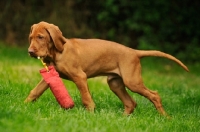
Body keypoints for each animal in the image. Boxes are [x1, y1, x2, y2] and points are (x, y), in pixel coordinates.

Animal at [24, 21, 188, 115]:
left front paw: (90, 115)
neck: (57, 53)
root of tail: (134, 52)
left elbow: (86, 98)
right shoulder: (50, 76)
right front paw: (23, 107)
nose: (30, 52)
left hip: (132, 82)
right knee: (131, 103)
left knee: (154, 95)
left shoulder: (80, 77)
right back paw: (122, 120)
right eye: (30, 38)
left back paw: (165, 117)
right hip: (115, 83)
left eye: (41, 37)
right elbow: (34, 92)